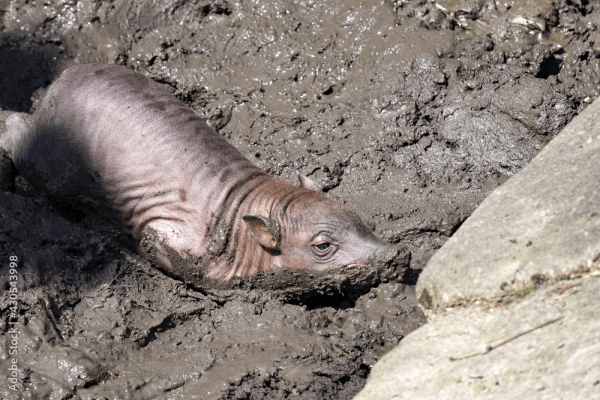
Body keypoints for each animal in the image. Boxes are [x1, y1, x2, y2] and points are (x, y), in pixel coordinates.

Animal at [2, 63, 384, 282]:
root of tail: (61, 78)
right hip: (45, 158)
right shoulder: (170, 238)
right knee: (15, 130)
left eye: (360, 220)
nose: (391, 254)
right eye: (323, 246)